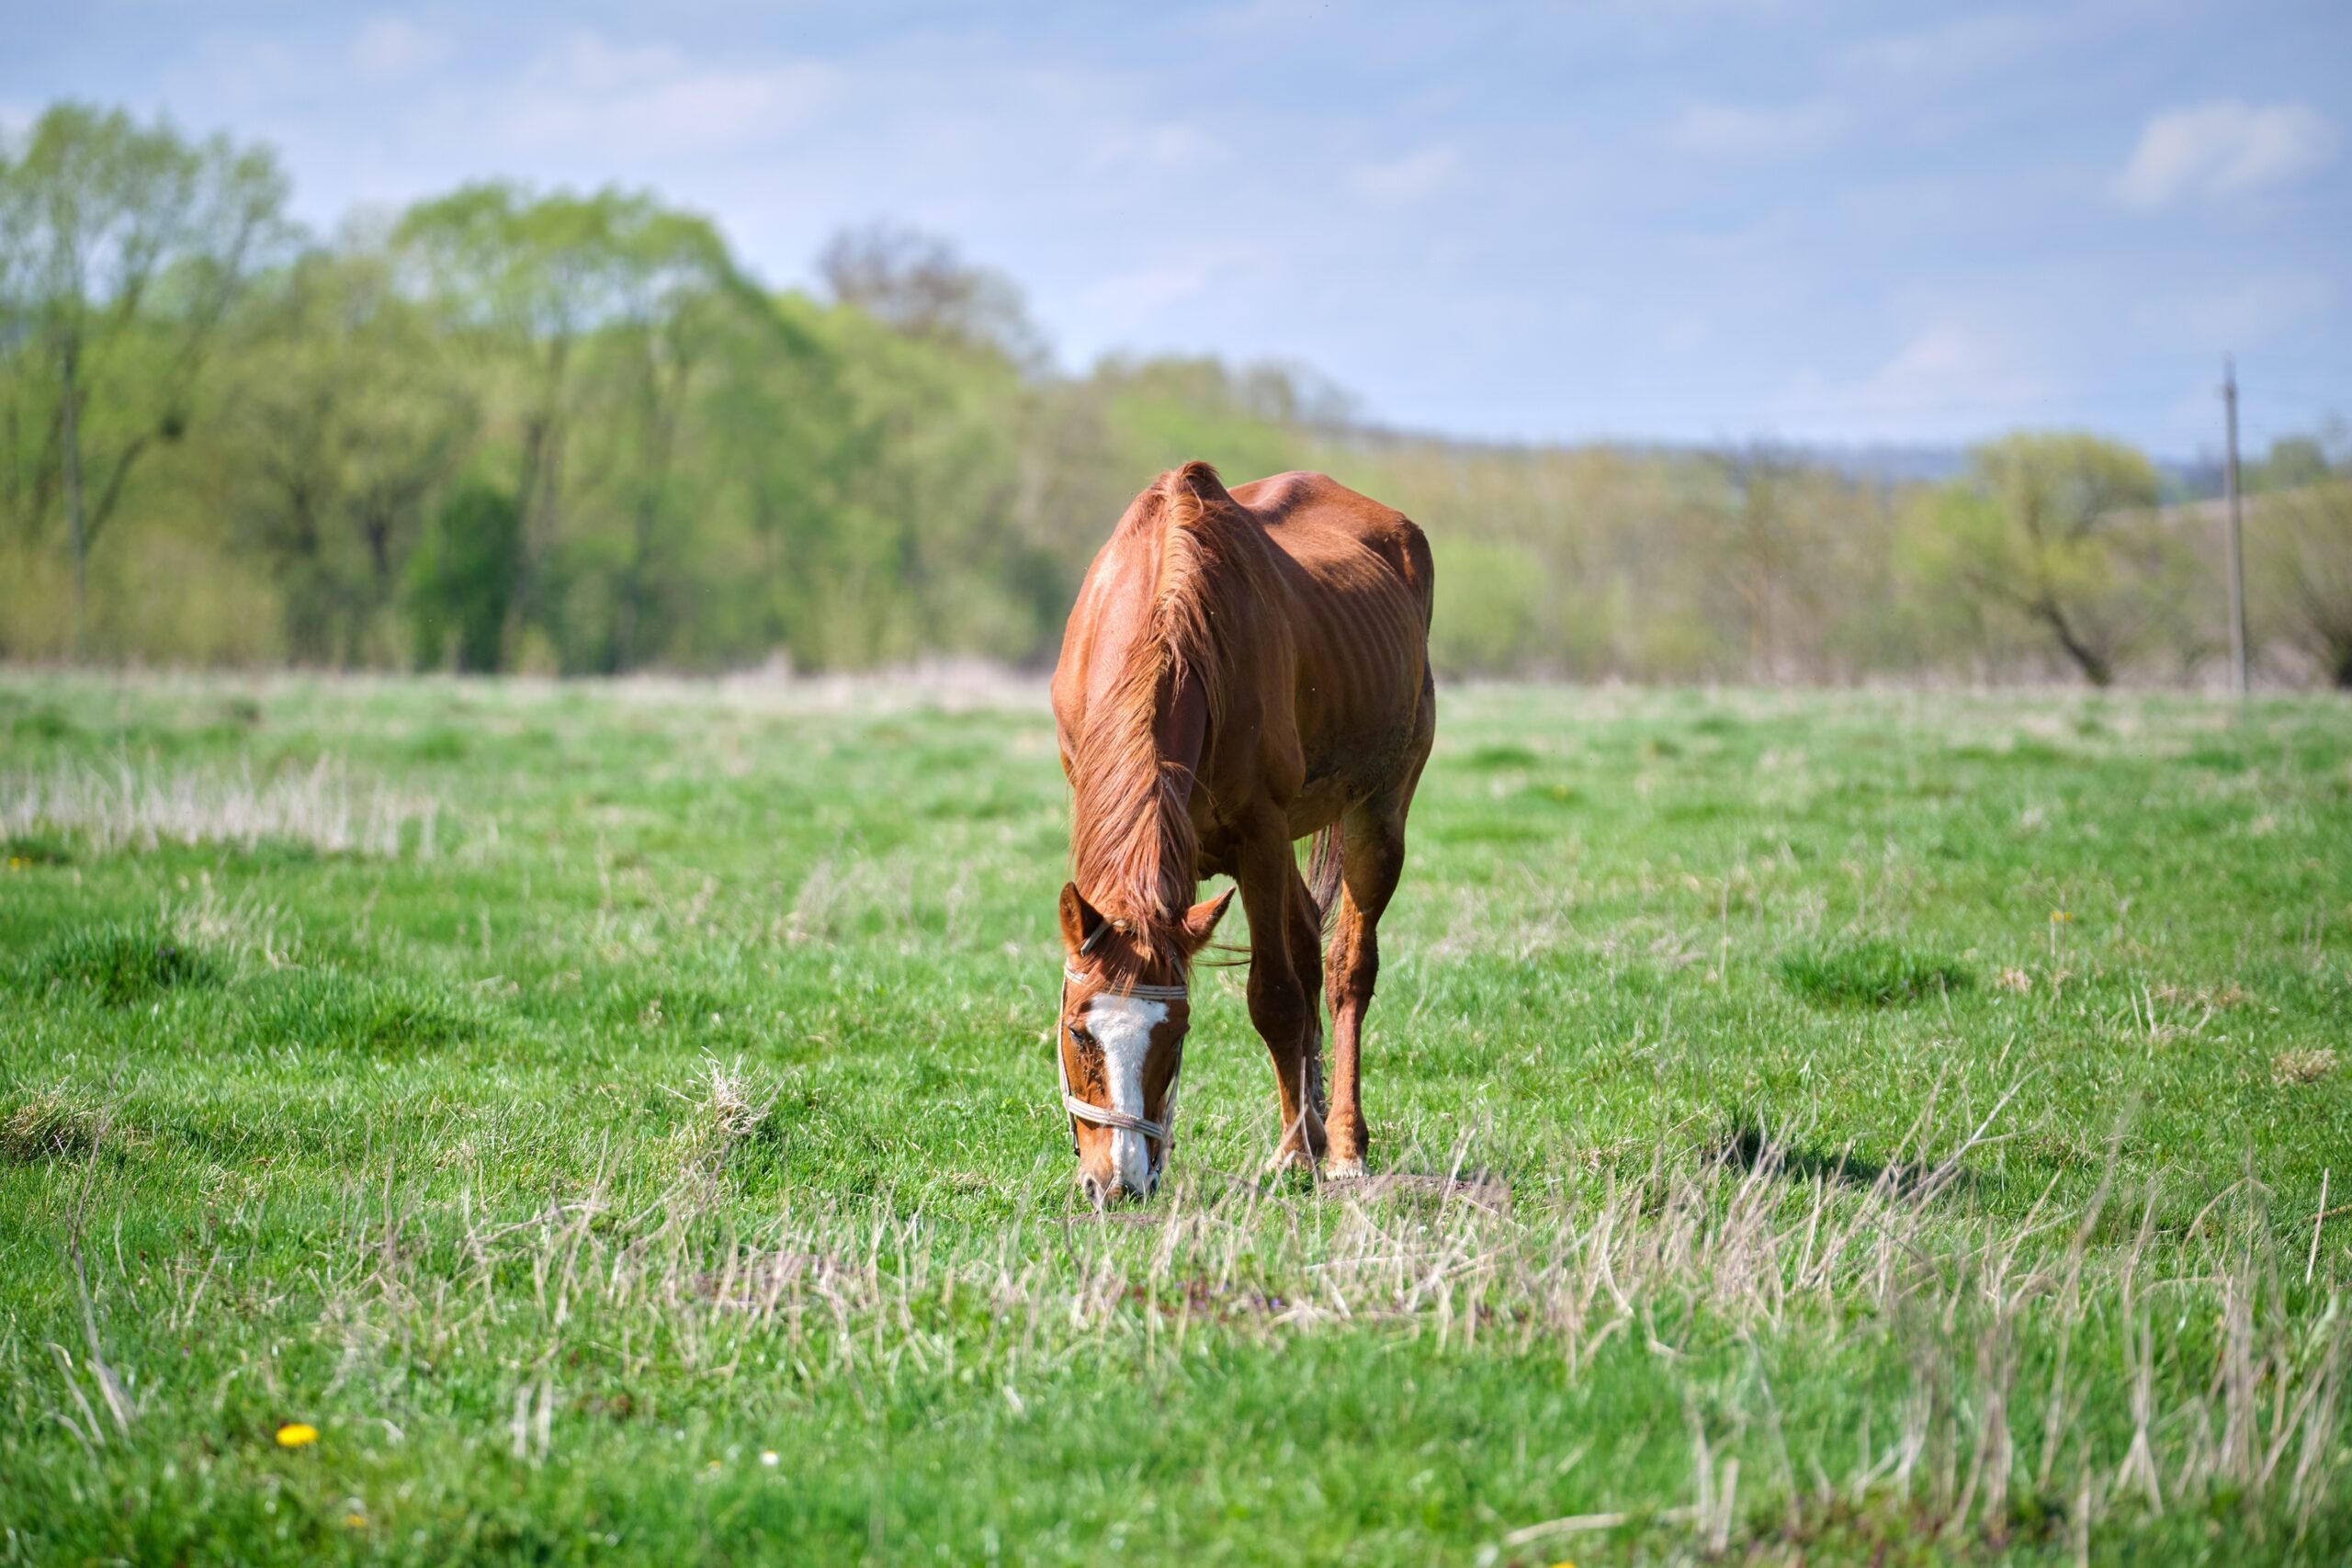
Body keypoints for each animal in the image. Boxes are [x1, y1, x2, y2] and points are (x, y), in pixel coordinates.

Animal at [1048, 461, 1435, 1201]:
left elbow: (1276, 999)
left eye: (1176, 1035)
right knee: (1309, 947)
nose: (1120, 1182)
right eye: (1079, 1033)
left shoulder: (1261, 832)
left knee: (1345, 970)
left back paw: (1340, 1142)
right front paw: (1299, 1136)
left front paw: (1296, 1155)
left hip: (1377, 812)